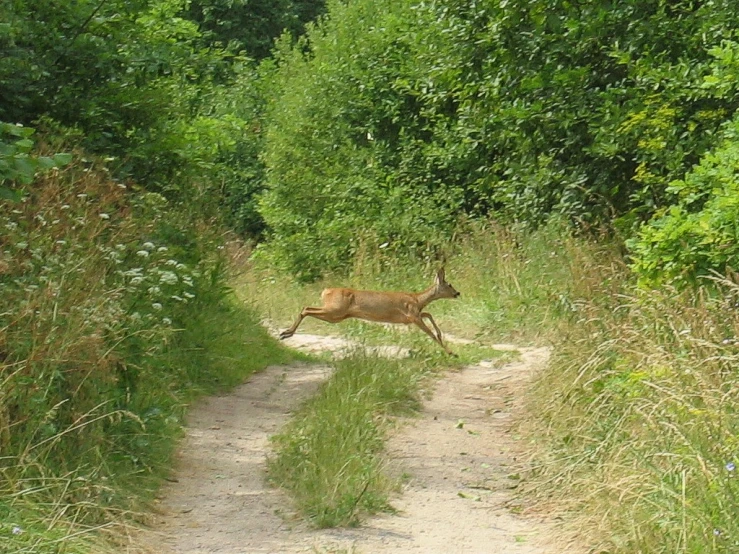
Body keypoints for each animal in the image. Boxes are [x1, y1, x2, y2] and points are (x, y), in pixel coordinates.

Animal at [278, 268, 460, 354]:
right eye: (450, 284)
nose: (458, 293)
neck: (417, 299)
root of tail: (326, 291)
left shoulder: (412, 316)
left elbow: (429, 314)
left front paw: (442, 338)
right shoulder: (412, 315)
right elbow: (429, 332)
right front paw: (451, 352)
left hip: (336, 315)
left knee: (307, 308)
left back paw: (286, 333)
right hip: (335, 310)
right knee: (306, 308)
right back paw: (286, 333)